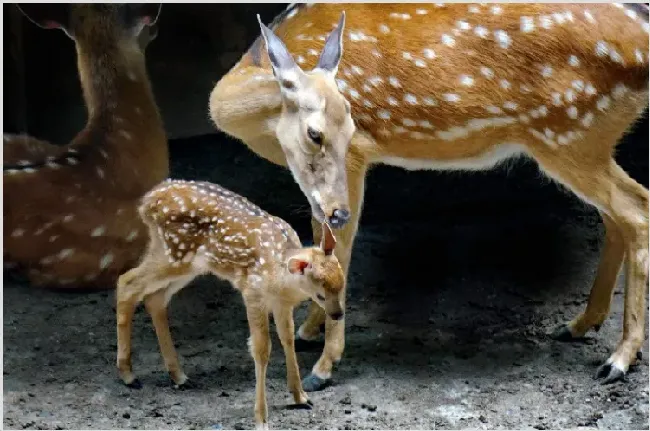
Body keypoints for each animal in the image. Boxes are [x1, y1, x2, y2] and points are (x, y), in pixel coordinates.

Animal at [116, 178, 344, 428]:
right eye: (320, 295)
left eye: (342, 285)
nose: (338, 314)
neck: (281, 276)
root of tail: (147, 201)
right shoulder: (252, 291)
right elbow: (261, 348)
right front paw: (261, 419)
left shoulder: (281, 304)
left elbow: (287, 339)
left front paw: (300, 397)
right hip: (173, 253)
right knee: (127, 283)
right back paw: (128, 375)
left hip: (187, 263)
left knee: (154, 298)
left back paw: (178, 376)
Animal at [209, 2, 648, 388]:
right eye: (314, 134)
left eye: (352, 127)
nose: (340, 212)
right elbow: (320, 239)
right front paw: (309, 329)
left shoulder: (356, 160)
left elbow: (341, 248)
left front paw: (324, 367)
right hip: (585, 140)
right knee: (616, 217)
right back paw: (581, 324)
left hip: (568, 131)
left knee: (636, 209)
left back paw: (619, 359)